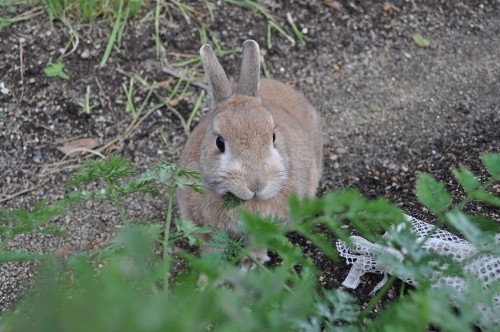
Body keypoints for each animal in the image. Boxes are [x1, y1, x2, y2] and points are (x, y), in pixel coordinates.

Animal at [177, 39, 324, 270]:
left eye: (273, 136)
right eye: (219, 142)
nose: (256, 184)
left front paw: (249, 264)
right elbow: (211, 251)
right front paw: (205, 276)